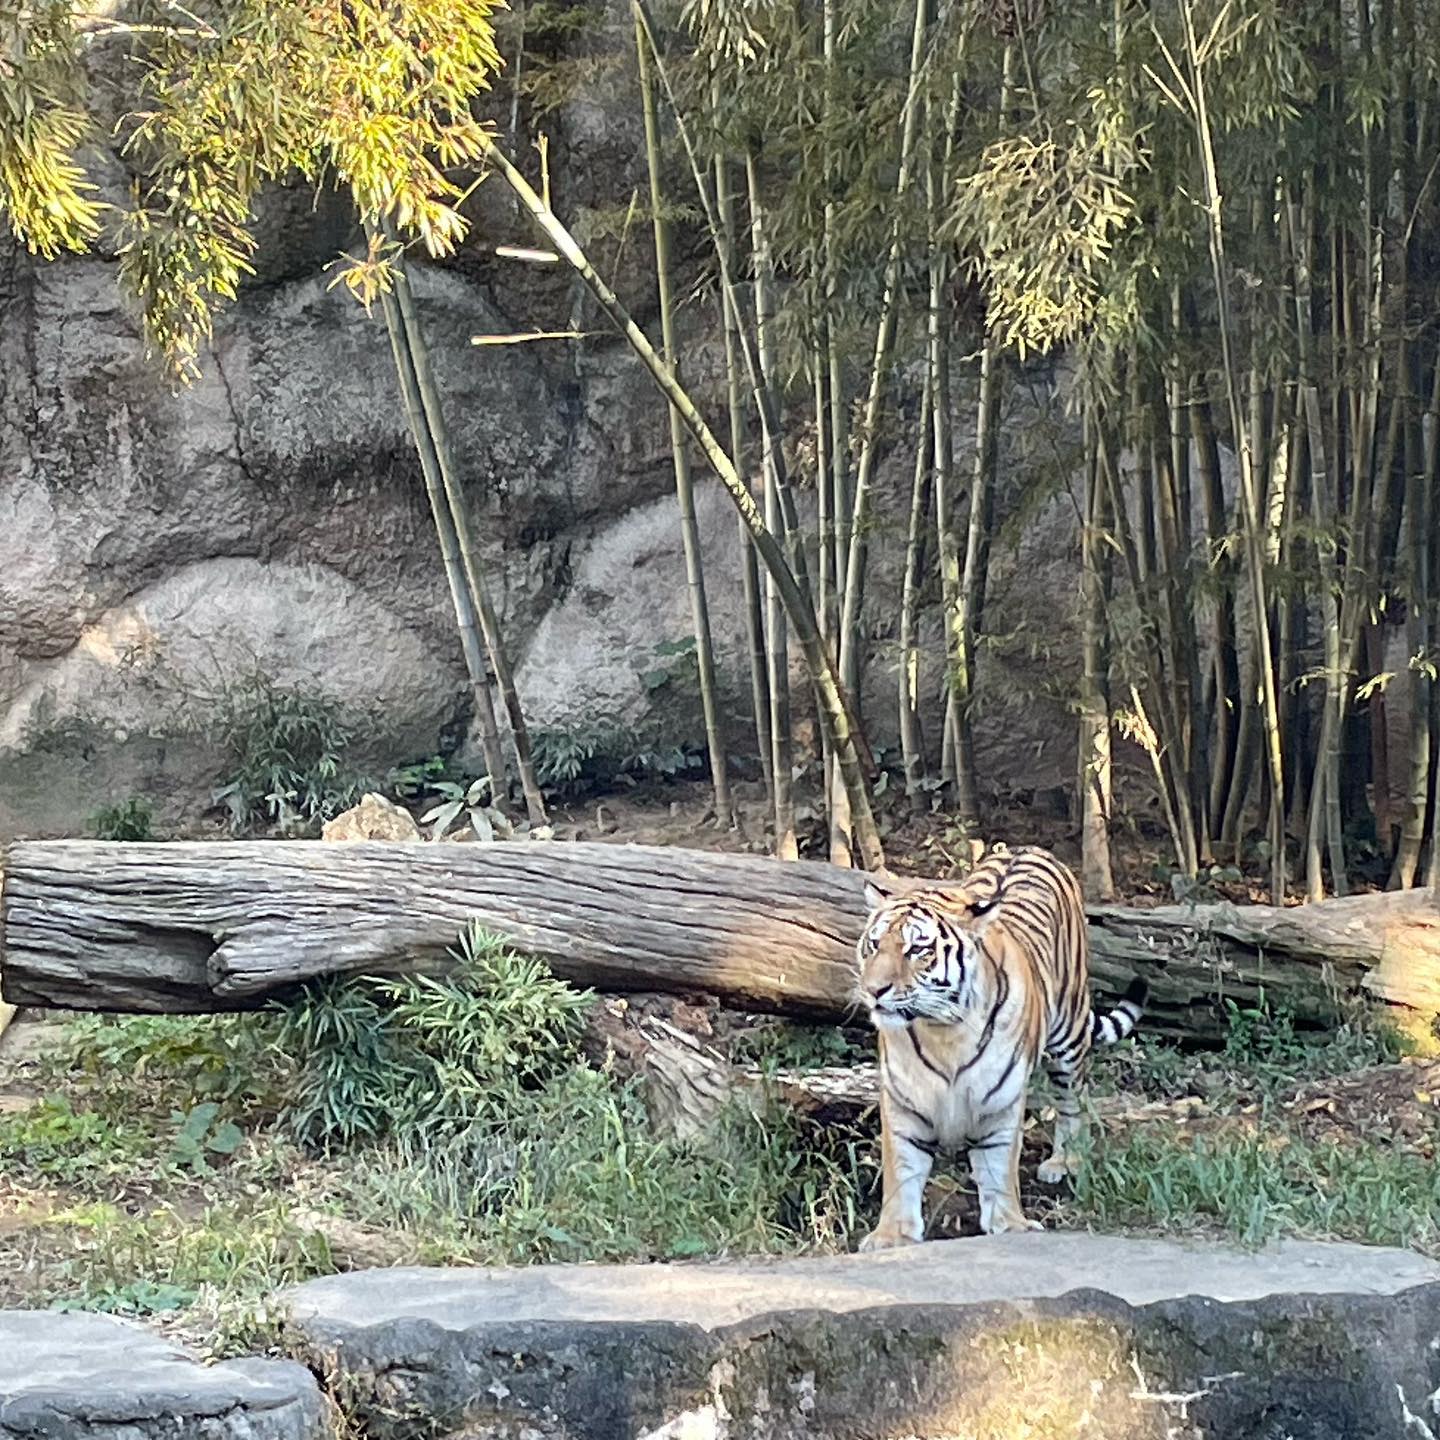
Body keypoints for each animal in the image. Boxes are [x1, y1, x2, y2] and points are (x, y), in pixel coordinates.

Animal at [852, 840, 1146, 1249]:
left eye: (917, 950)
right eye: (874, 944)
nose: (873, 990)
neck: (943, 1031)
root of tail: (1029, 847)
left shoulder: (1000, 1103)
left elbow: (1000, 1164)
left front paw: (1011, 1223)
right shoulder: (903, 1103)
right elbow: (901, 1172)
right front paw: (891, 1236)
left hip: (1068, 1037)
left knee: (1073, 1100)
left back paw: (1065, 1162)